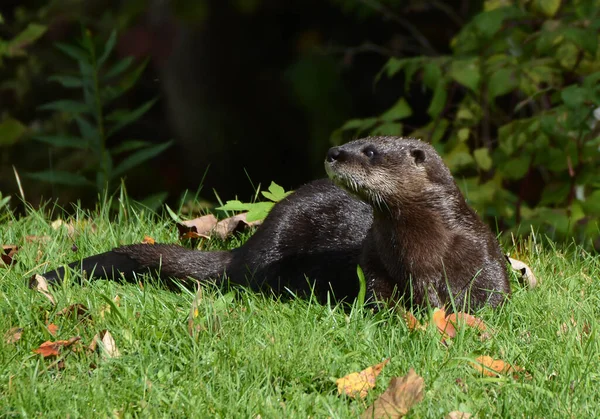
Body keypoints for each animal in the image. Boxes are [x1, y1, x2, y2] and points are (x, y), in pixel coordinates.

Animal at [37, 136, 508, 310]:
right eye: (354, 141)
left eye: (371, 150)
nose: (334, 152)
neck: (424, 255)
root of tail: (251, 247)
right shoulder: (374, 262)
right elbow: (378, 296)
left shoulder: (485, 259)